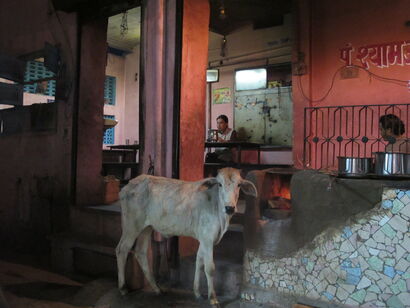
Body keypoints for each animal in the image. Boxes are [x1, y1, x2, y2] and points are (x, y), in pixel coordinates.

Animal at [115, 168, 256, 306]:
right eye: (220, 184)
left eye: (239, 185)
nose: (229, 208)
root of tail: (129, 184)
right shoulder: (208, 239)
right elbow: (209, 268)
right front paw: (213, 298)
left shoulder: (203, 239)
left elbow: (199, 261)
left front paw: (197, 293)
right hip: (131, 225)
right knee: (122, 249)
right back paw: (123, 288)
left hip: (146, 227)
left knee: (140, 251)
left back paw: (157, 288)